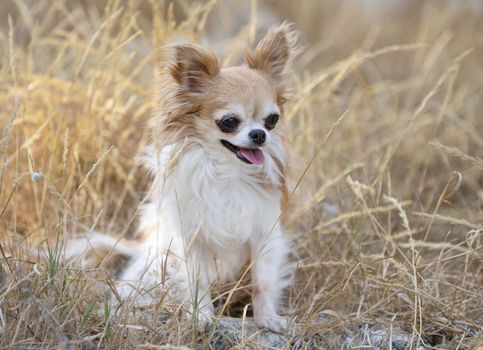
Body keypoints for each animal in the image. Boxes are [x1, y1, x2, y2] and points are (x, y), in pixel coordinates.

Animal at [69, 23, 298, 332]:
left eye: (272, 120)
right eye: (229, 122)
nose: (259, 135)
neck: (227, 171)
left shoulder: (264, 234)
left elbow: (262, 282)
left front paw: (267, 319)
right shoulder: (192, 240)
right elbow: (198, 281)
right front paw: (201, 317)